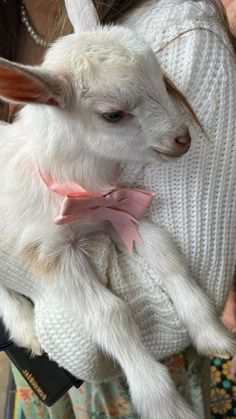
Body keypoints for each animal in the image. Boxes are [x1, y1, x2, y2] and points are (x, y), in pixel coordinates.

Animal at [0, 1, 234, 418]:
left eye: (162, 78)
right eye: (113, 114)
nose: (182, 139)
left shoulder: (110, 212)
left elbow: (166, 253)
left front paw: (211, 333)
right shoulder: (50, 252)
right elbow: (111, 313)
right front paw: (163, 402)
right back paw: (24, 324)